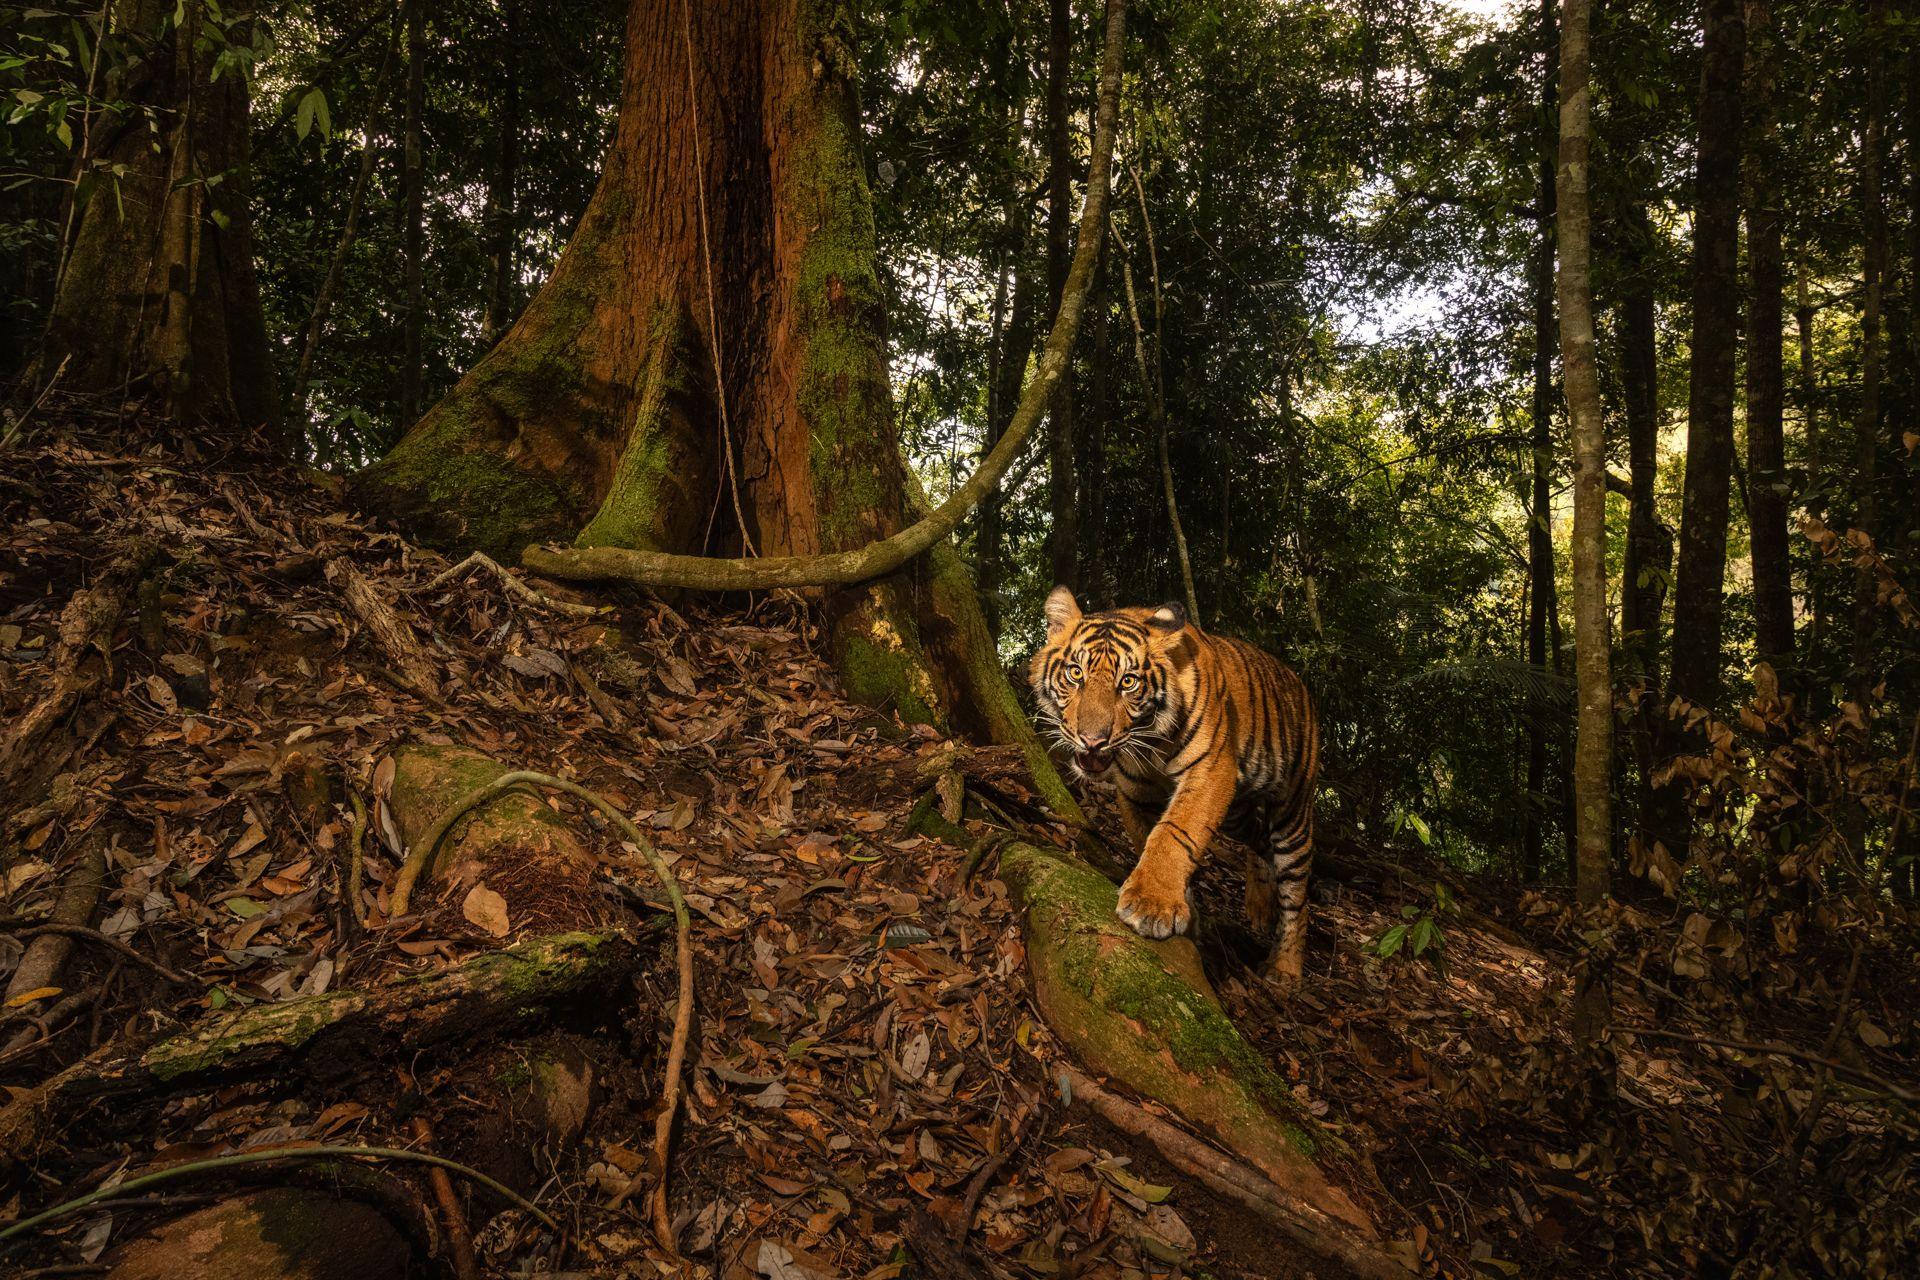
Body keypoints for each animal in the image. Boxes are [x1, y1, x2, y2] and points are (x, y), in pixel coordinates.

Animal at [1029, 585, 1321, 990]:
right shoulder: (1136, 790)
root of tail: (1299, 682)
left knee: (1297, 891)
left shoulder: (1212, 770)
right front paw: (1182, 911)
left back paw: (1286, 968)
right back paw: (1259, 906)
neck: (1150, 741)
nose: (1093, 741)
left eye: (1128, 682)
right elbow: (1149, 838)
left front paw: (1151, 905)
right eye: (1075, 674)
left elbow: (1175, 833)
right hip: (1238, 812)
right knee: (1260, 840)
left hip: (1293, 810)